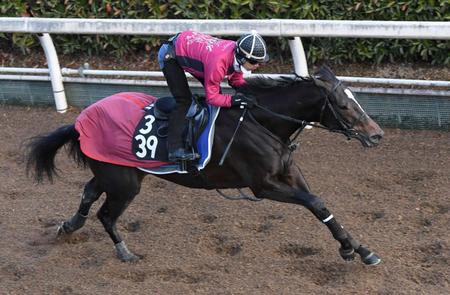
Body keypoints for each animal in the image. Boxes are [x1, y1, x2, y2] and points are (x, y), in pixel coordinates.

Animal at [25, 66, 384, 266]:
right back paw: (125, 253)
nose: (377, 134)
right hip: (125, 183)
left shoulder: (289, 172)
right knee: (106, 215)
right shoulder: (263, 185)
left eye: (355, 100)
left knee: (89, 192)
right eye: (342, 105)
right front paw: (353, 250)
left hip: (114, 172)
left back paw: (69, 226)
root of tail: (80, 120)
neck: (259, 121)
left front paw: (359, 249)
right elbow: (314, 202)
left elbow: (320, 205)